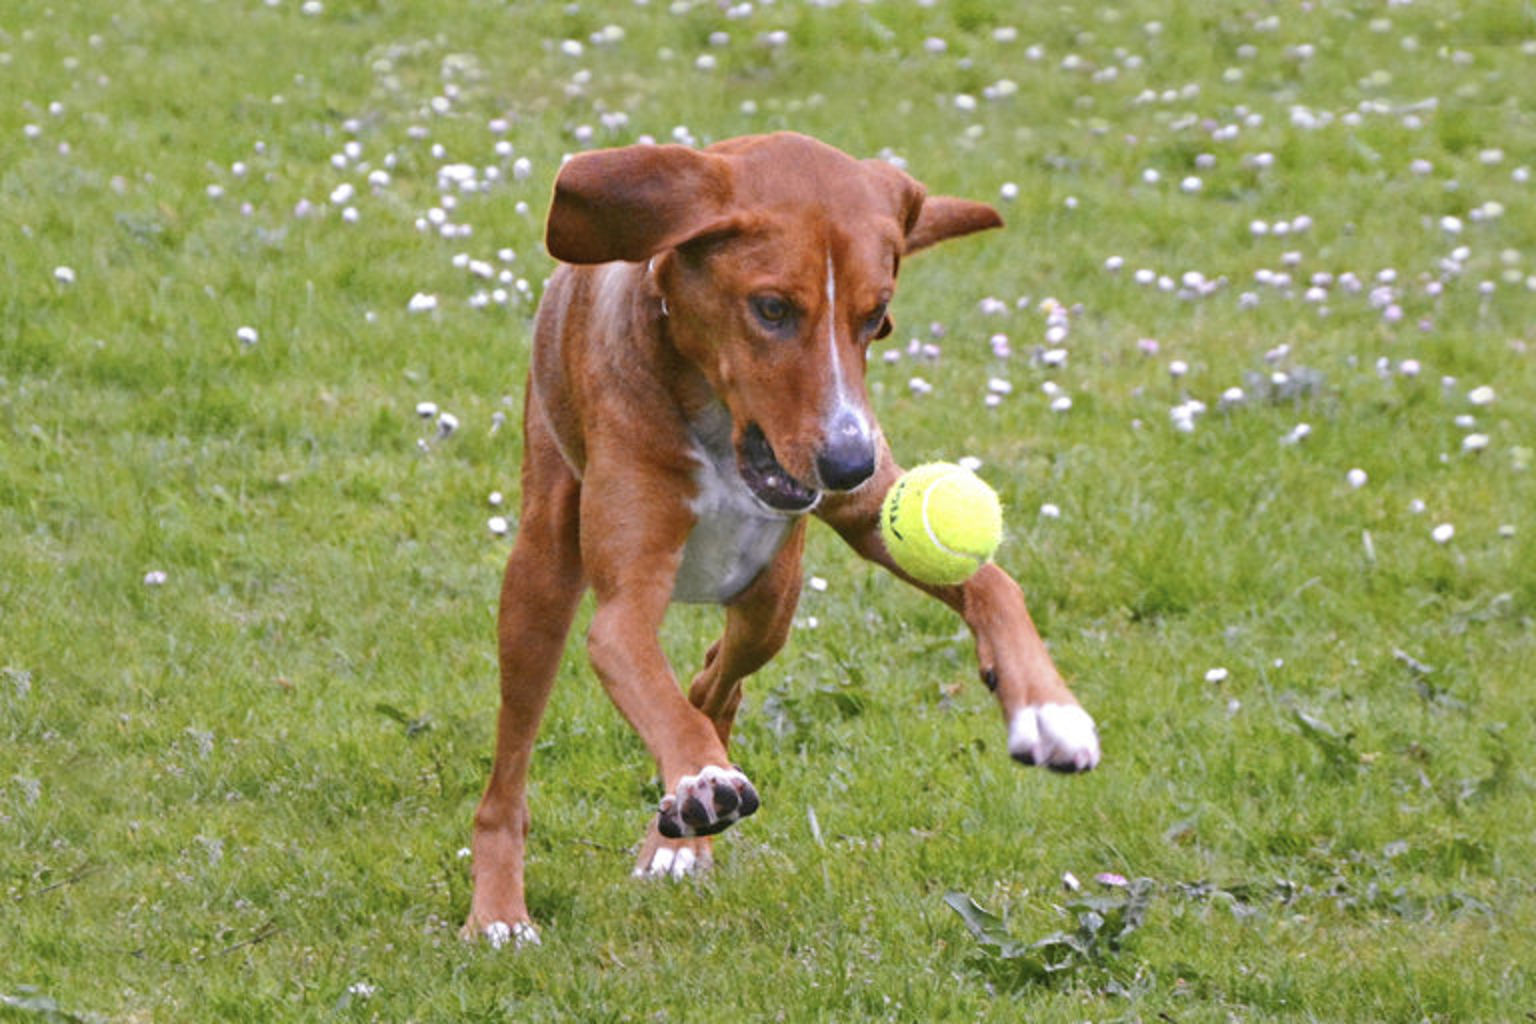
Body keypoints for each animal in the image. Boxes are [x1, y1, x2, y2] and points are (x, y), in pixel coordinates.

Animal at [460, 132, 1099, 951]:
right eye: (770, 309)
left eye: (877, 318)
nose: (850, 463)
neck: (718, 423)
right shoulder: (623, 607)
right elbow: (653, 686)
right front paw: (701, 777)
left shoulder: (871, 513)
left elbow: (992, 582)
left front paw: (1048, 707)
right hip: (539, 577)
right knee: (514, 768)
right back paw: (501, 909)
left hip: (774, 598)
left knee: (714, 682)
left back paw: (673, 840)